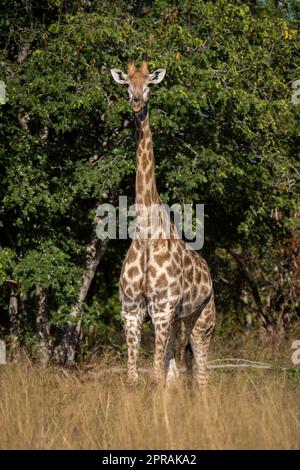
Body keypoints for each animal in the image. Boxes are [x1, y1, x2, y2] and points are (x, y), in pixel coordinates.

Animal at [110, 55, 216, 388]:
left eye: (149, 84)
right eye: (126, 83)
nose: (136, 102)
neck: (146, 232)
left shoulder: (161, 309)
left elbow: (155, 375)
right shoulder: (131, 310)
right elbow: (134, 378)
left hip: (202, 321)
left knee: (201, 375)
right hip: (178, 321)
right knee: (175, 373)